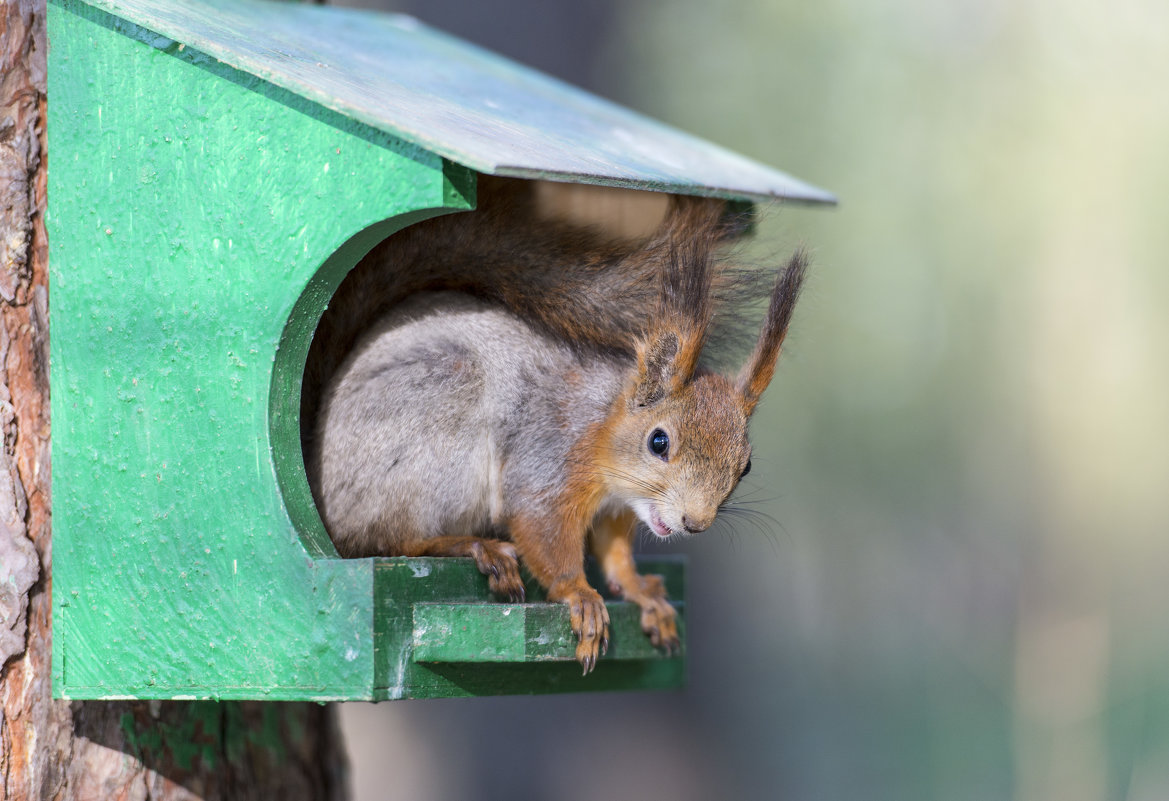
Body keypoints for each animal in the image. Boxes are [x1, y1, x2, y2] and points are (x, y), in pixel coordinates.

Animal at [306, 177, 808, 673]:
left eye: (745, 466)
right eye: (659, 441)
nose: (695, 523)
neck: (603, 428)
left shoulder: (617, 508)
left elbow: (615, 553)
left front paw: (640, 590)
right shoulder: (549, 460)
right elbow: (542, 531)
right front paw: (580, 596)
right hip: (433, 423)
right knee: (389, 538)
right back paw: (474, 547)